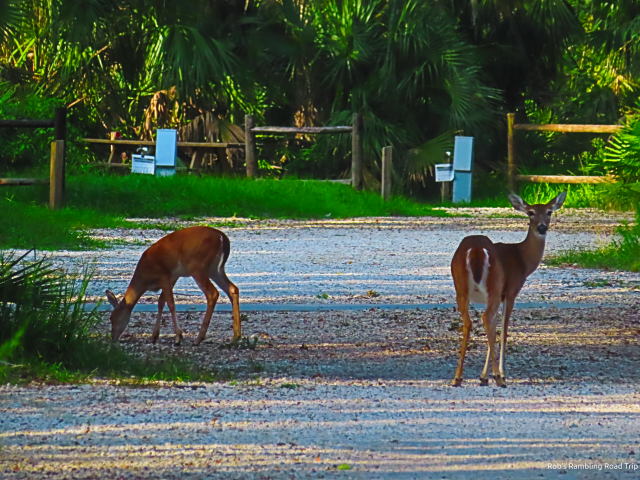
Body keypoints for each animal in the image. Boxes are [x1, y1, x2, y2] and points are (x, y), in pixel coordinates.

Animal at [105, 226, 241, 346]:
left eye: (112, 318)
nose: (113, 338)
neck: (144, 278)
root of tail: (222, 237)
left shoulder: (164, 275)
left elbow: (170, 303)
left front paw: (178, 338)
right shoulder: (173, 276)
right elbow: (161, 302)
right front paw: (154, 336)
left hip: (198, 267)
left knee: (213, 293)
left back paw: (198, 339)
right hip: (215, 269)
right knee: (232, 288)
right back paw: (236, 337)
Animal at [450, 191, 566, 387]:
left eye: (549, 212)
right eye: (530, 213)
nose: (542, 227)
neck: (523, 260)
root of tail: (475, 249)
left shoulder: (500, 295)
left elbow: (494, 327)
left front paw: (484, 376)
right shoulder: (511, 291)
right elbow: (503, 331)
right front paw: (499, 374)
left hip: (461, 288)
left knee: (470, 322)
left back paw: (457, 377)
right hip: (494, 285)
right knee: (485, 318)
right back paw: (498, 378)